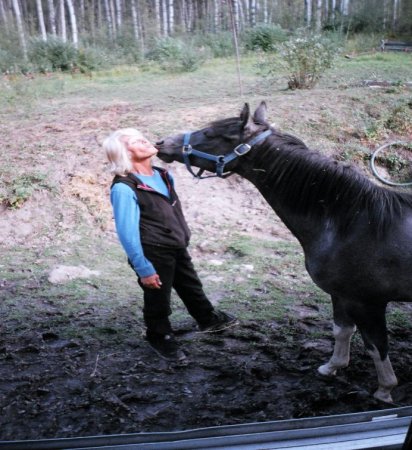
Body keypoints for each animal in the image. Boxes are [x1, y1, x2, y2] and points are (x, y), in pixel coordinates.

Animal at [155, 103, 412, 404]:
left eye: (209, 133)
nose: (161, 143)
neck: (351, 222)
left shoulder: (368, 303)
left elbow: (376, 346)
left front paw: (384, 390)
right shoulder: (341, 295)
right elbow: (342, 330)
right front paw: (332, 367)